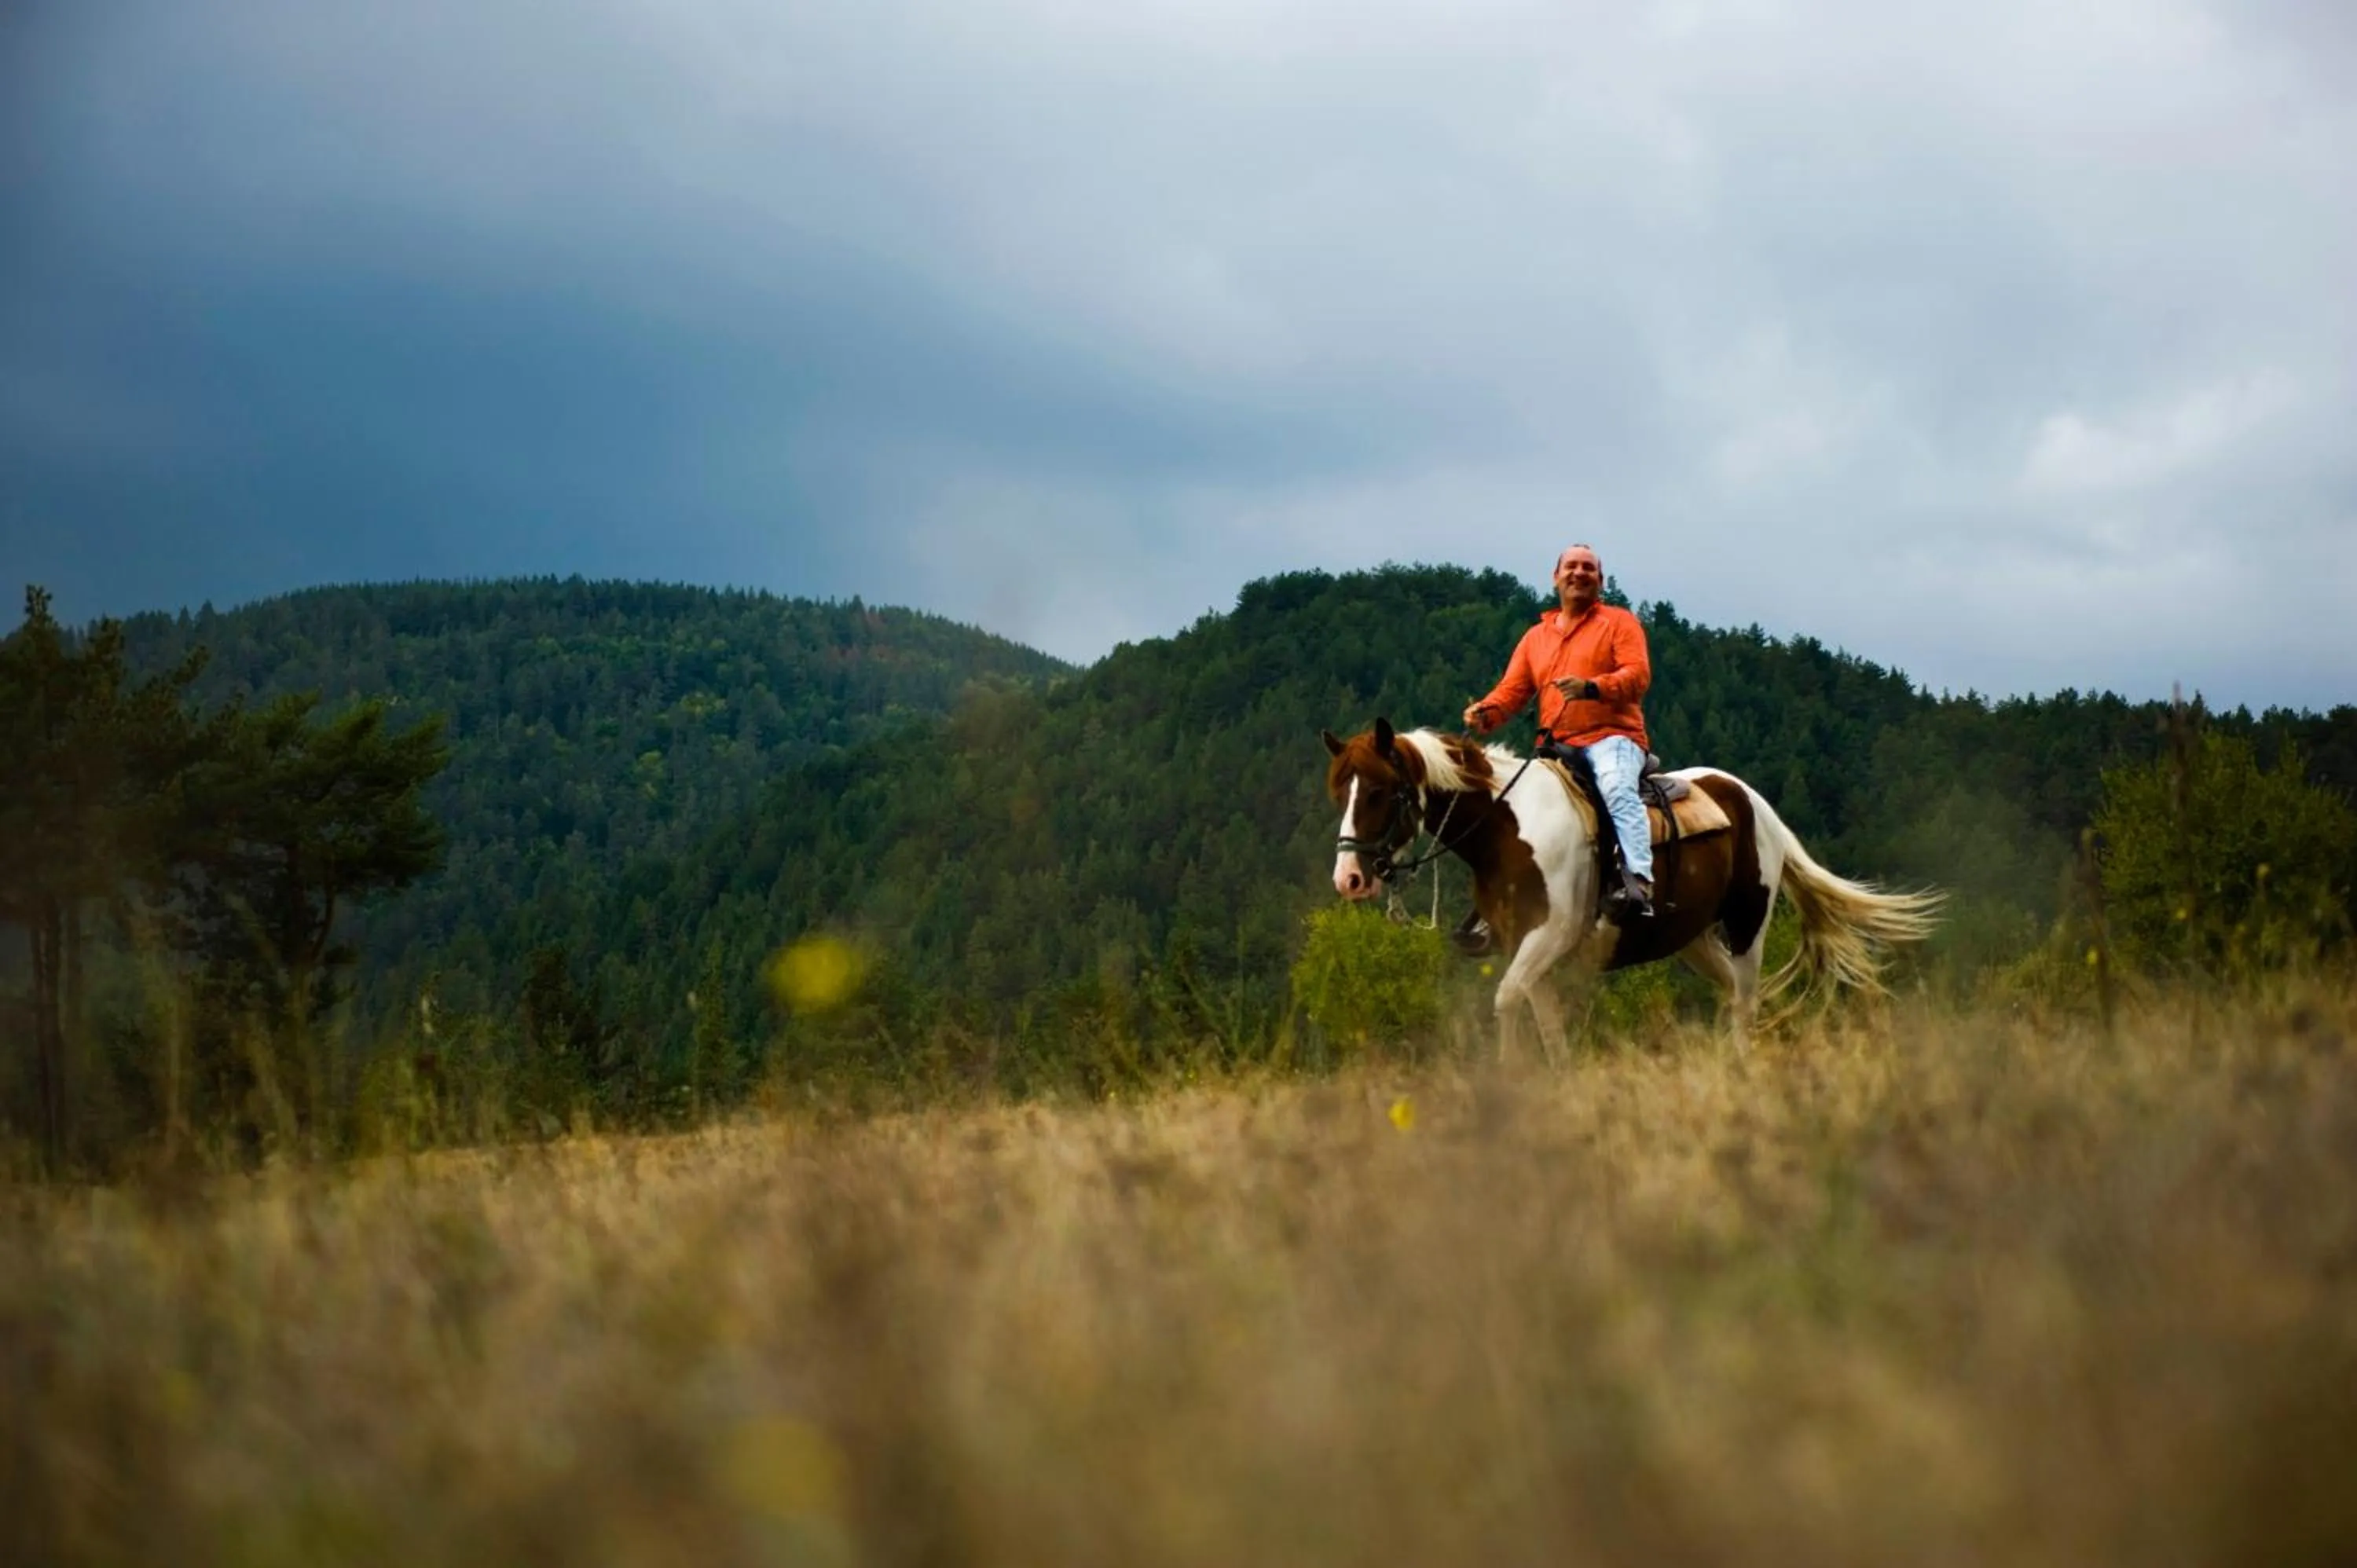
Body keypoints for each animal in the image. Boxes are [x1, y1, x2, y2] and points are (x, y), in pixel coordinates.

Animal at [1320, 718, 1941, 1060]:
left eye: (1378, 791)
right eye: (1339, 791)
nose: (1349, 879)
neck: (1507, 829)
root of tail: (1754, 802)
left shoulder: (1548, 937)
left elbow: (1507, 1001)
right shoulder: (1526, 947)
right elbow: (1547, 1024)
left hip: (1748, 925)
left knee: (1745, 1002)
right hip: (1694, 939)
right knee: (1729, 994)